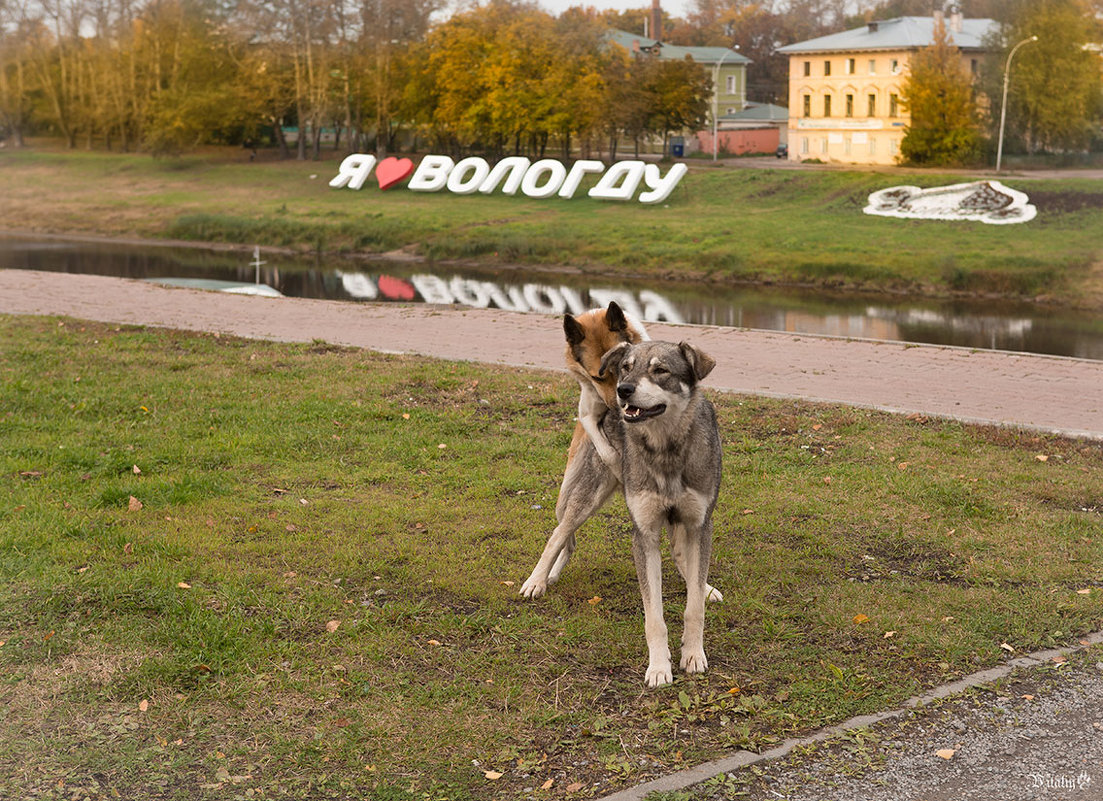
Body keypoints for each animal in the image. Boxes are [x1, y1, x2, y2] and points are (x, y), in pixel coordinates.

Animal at [520, 339, 719, 688]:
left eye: (660, 370)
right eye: (627, 367)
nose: (623, 390)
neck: (665, 450)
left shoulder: (699, 525)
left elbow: (693, 606)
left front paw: (693, 653)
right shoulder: (644, 535)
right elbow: (654, 618)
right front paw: (659, 667)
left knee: (682, 555)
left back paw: (705, 586)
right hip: (588, 497)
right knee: (558, 535)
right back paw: (537, 580)